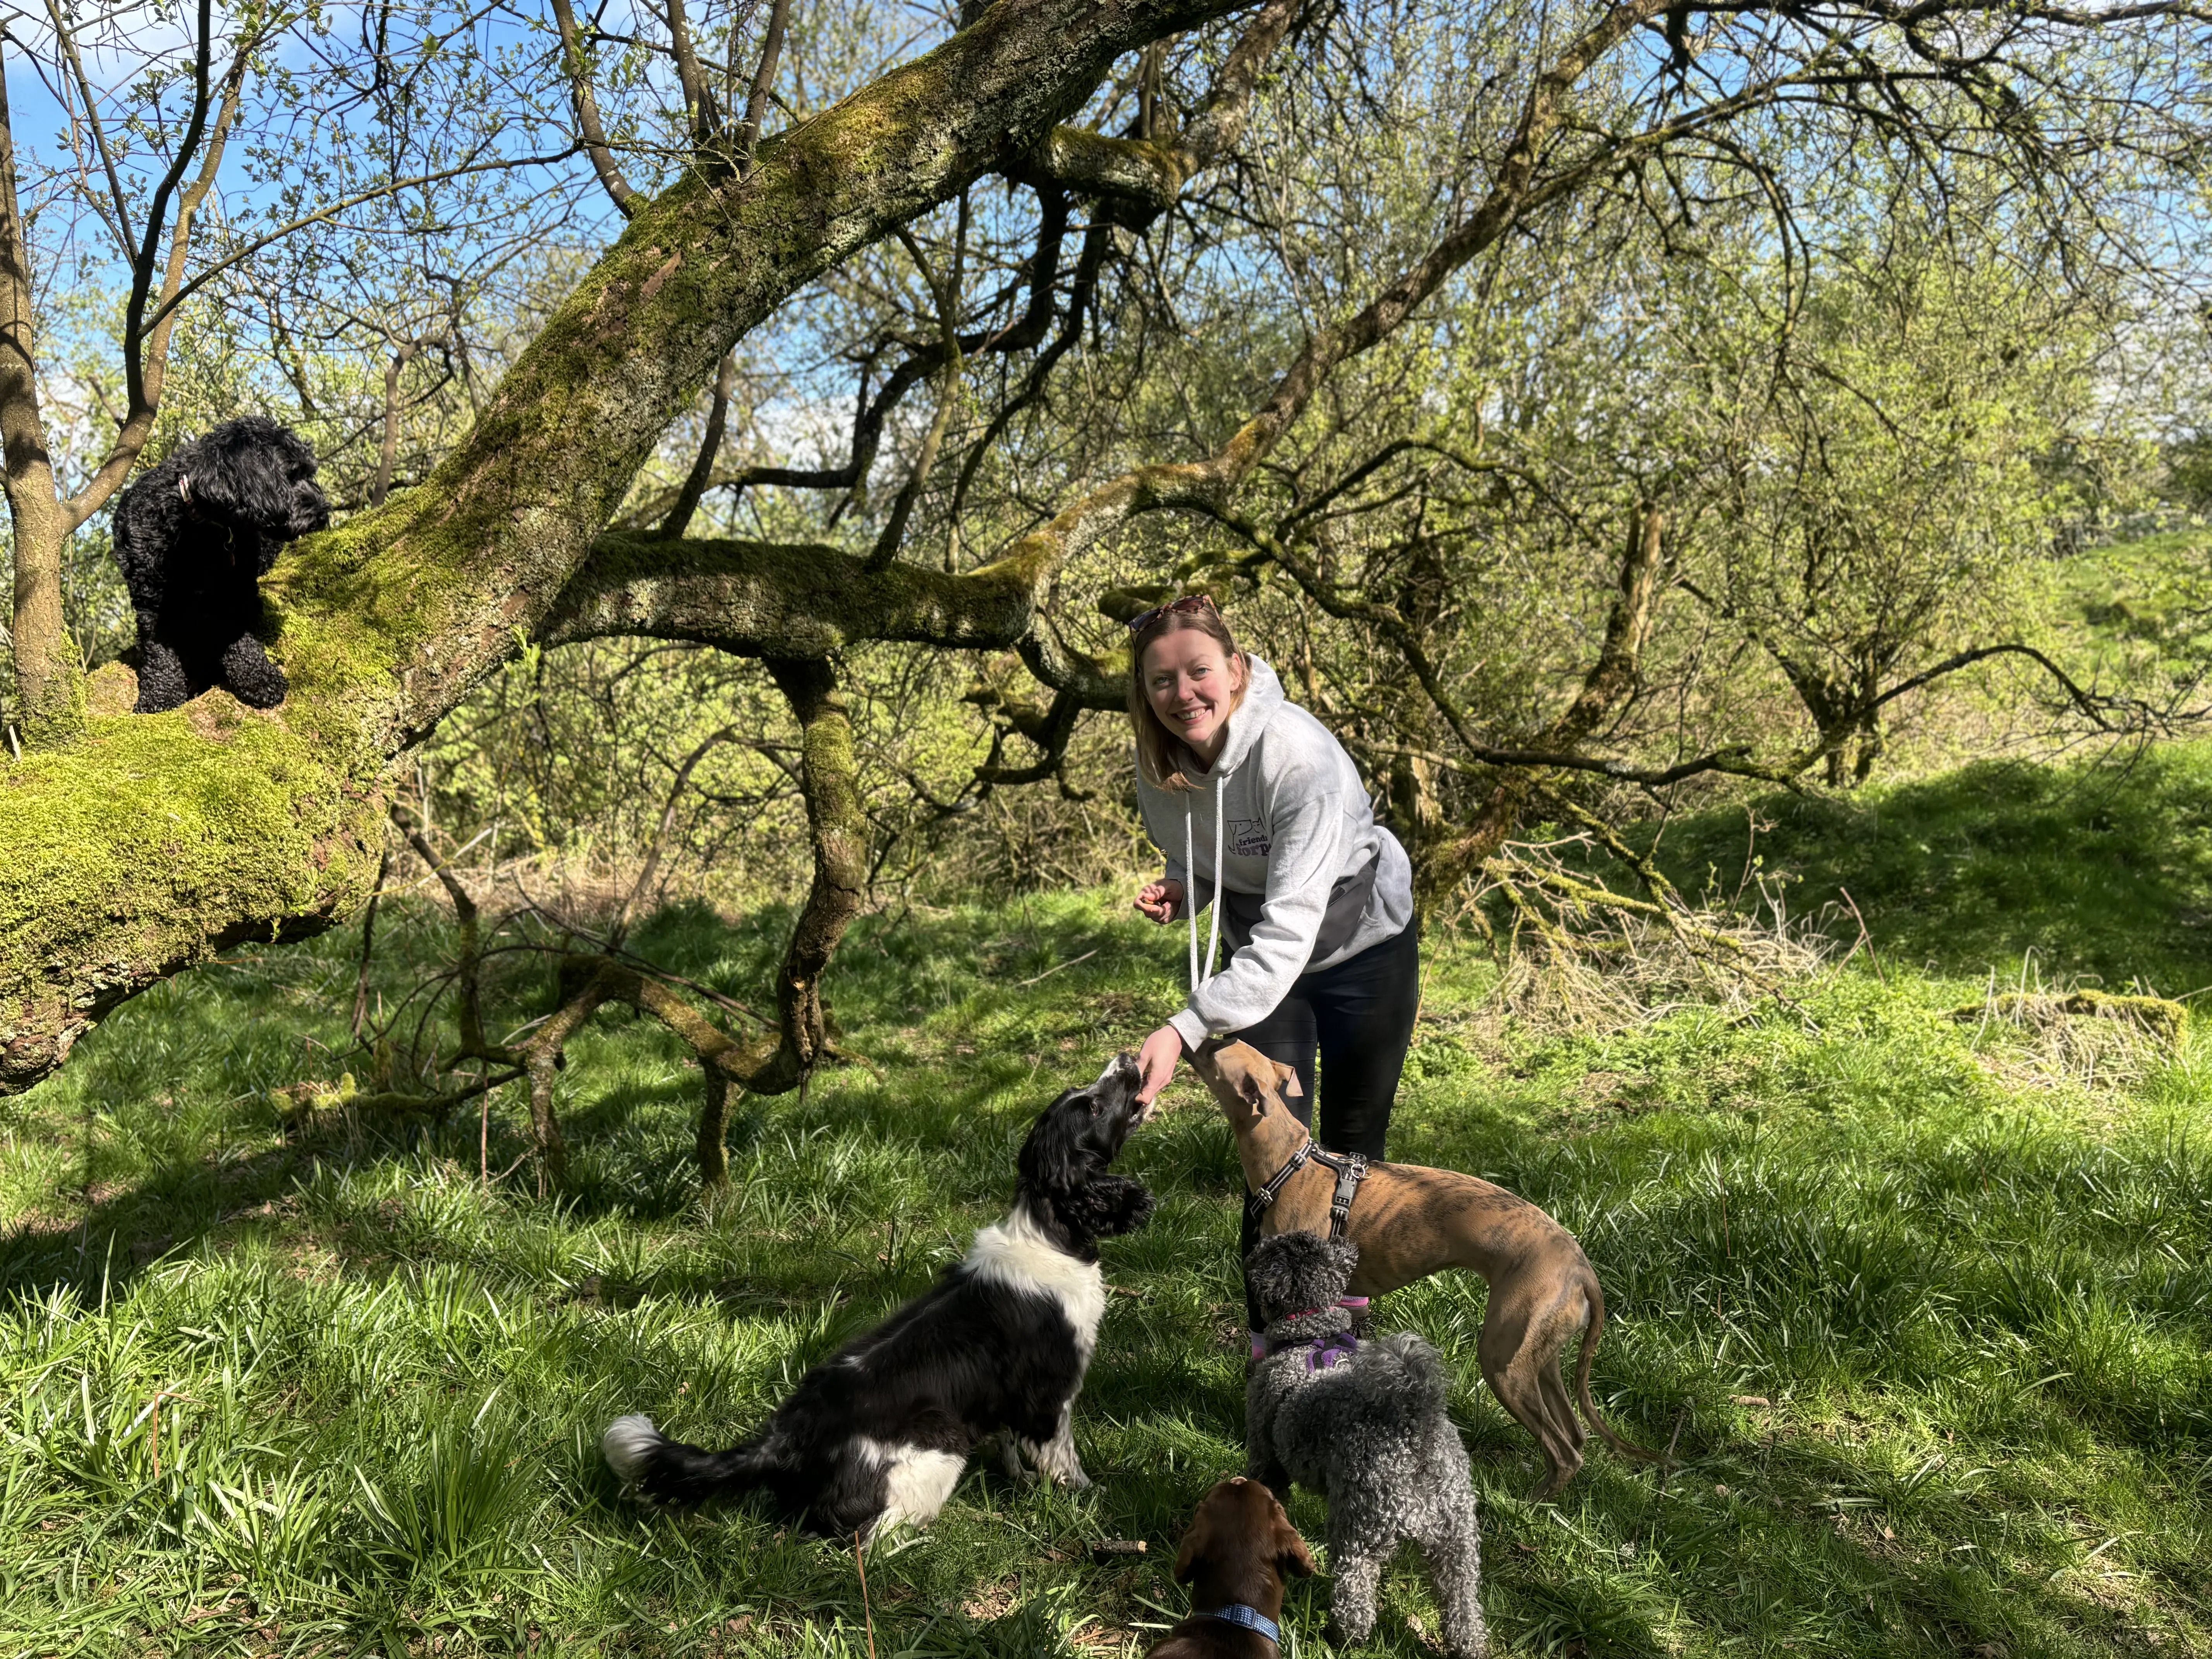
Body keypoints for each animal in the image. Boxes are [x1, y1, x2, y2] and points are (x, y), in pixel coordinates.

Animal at [112, 416, 327, 716]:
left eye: (309, 473)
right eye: (291, 475)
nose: (323, 513)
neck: (200, 532)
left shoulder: (235, 591)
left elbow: (241, 640)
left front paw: (260, 680)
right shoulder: (150, 600)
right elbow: (158, 654)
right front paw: (159, 699)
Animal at [1247, 1238, 1486, 1659]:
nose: (1249, 1255)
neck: (1309, 1335)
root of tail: (1414, 1427)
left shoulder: (1266, 1458)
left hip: (1359, 1530)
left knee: (1354, 1594)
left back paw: (1343, 1638)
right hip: (1457, 1540)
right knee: (1462, 1604)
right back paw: (1468, 1646)